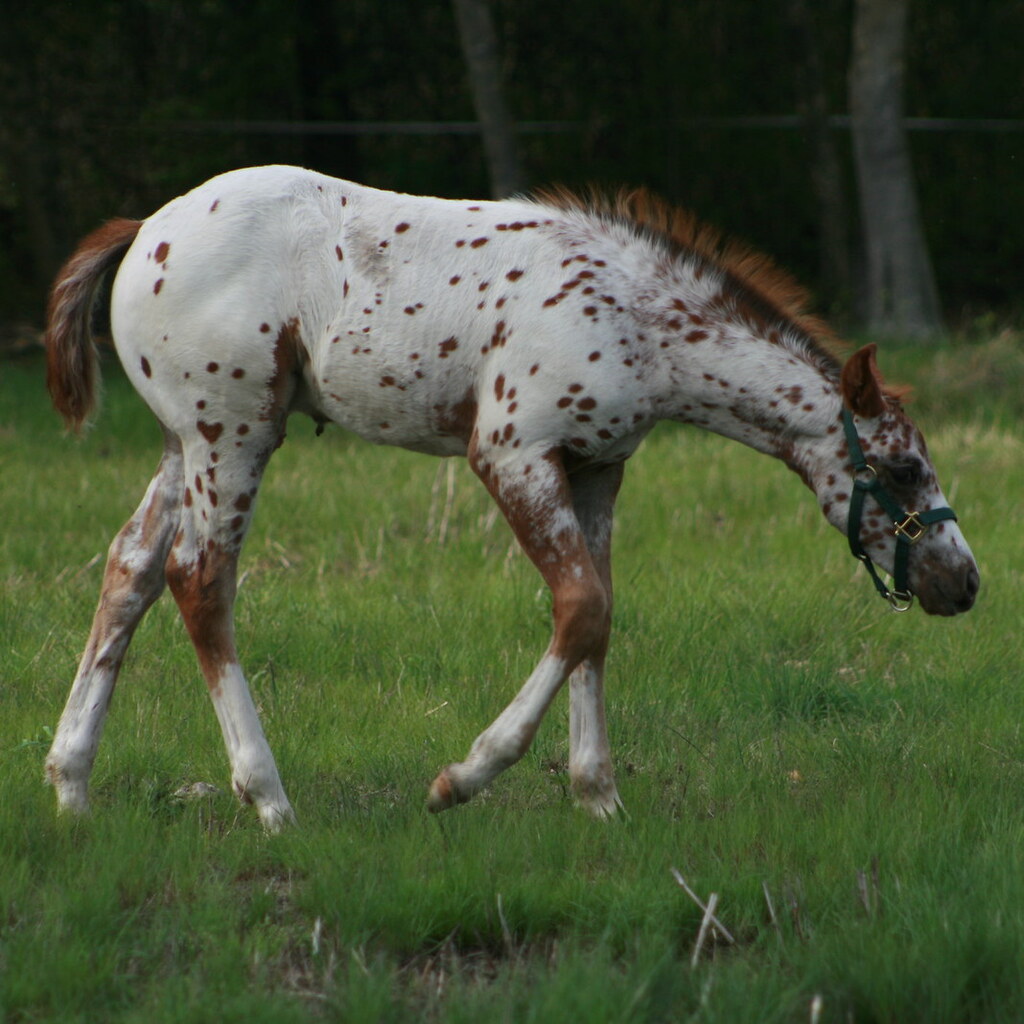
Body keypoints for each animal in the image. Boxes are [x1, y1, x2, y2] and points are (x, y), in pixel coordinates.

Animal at [43, 165, 979, 829]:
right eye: (901, 468)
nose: (963, 582)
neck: (636, 315)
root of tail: (144, 230)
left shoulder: (596, 468)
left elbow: (598, 614)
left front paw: (598, 794)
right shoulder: (511, 452)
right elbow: (580, 606)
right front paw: (463, 778)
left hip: (184, 444)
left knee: (131, 569)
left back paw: (71, 785)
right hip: (232, 434)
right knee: (201, 580)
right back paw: (267, 796)